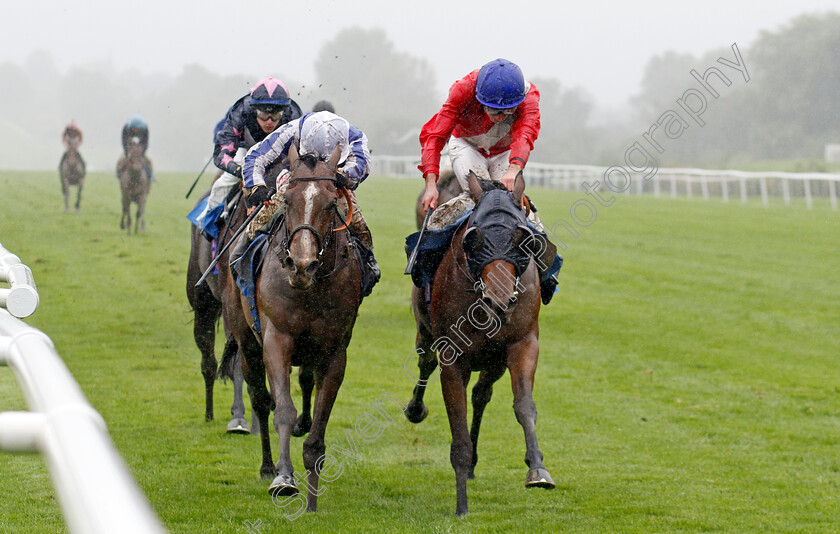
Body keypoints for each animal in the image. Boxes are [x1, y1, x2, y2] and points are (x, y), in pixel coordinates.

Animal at [226, 142, 364, 516]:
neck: (309, 289)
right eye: (287, 200)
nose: (302, 265)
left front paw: (313, 496)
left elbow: (320, 421)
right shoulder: (277, 338)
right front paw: (284, 478)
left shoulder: (335, 351)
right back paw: (266, 465)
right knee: (261, 399)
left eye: (331, 203)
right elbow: (283, 410)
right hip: (246, 339)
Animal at [404, 173, 556, 520]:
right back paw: (415, 409)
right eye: (473, 239)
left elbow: (524, 405)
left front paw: (538, 470)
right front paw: (461, 504)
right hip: (426, 330)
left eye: (524, 240)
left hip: (494, 361)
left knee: (481, 395)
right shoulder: (452, 356)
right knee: (425, 363)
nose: (499, 300)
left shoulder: (522, 344)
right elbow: (456, 422)